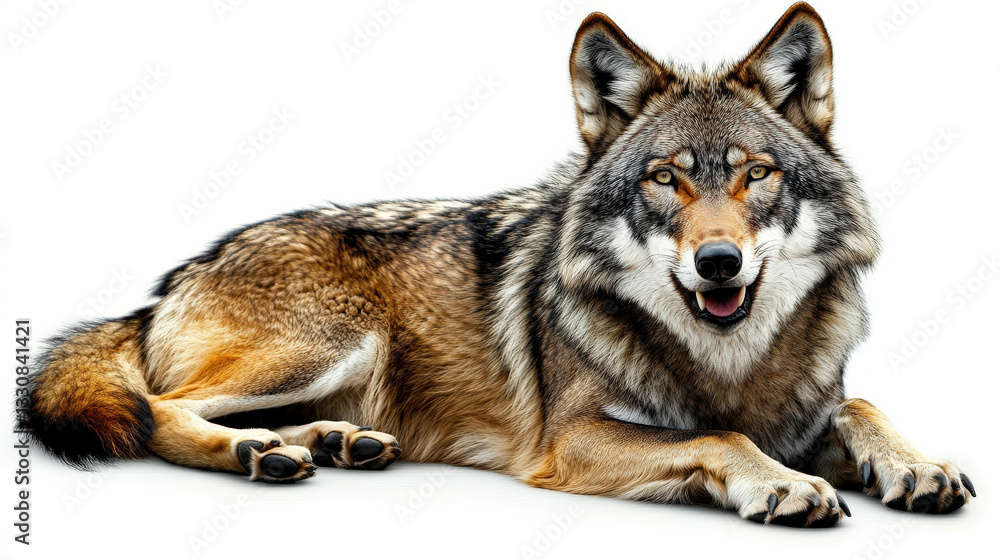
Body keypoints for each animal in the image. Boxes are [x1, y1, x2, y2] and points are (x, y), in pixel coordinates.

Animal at [22, 3, 974, 527]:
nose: (717, 263)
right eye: (665, 180)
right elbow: (720, 436)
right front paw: (782, 483)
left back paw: (325, 443)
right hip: (327, 345)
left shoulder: (811, 404)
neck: (729, 363)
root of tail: (165, 285)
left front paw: (916, 463)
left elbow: (860, 404)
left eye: (756, 175)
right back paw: (264, 453)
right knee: (160, 408)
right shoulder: (571, 442)